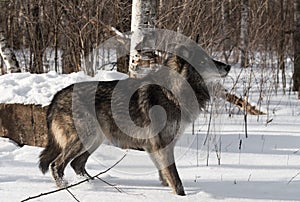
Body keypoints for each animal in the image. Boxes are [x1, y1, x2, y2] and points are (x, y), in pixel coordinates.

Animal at [38, 46, 230, 196]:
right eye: (205, 60)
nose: (228, 66)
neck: (173, 91)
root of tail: (56, 96)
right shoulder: (163, 145)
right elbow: (176, 180)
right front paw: (181, 197)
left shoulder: (155, 147)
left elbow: (164, 175)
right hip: (85, 138)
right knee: (57, 165)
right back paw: (68, 189)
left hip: (94, 140)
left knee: (77, 164)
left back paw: (92, 185)